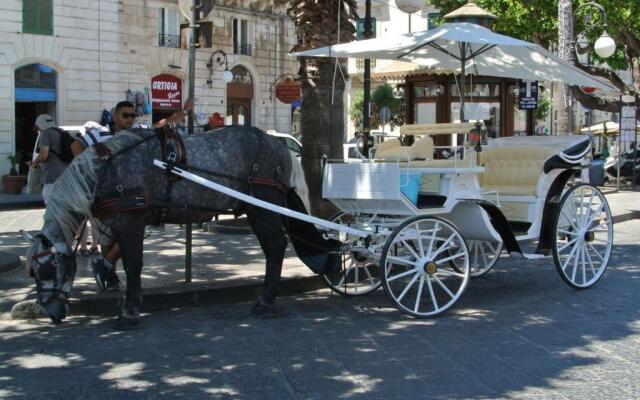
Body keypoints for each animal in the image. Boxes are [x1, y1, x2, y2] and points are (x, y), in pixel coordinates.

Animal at [21, 126, 338, 328]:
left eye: (46, 270)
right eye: (32, 273)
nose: (50, 311)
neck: (106, 171)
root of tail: (278, 145)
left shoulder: (131, 223)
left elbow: (133, 266)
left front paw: (130, 311)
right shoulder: (119, 224)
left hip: (263, 207)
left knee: (275, 247)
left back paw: (266, 302)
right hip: (256, 209)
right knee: (274, 248)